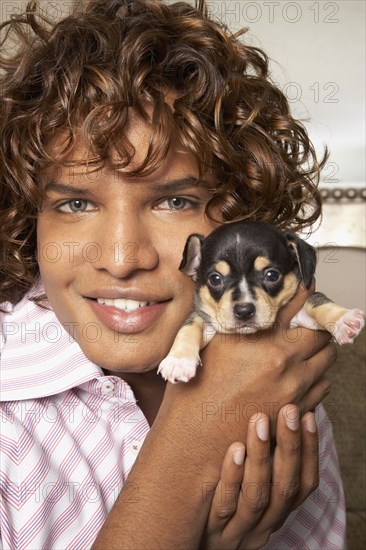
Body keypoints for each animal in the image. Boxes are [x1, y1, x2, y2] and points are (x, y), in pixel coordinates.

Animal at [159, 220, 364, 384]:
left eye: (272, 275)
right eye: (215, 279)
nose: (243, 311)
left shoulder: (303, 317)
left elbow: (318, 301)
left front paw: (344, 320)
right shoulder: (206, 320)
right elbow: (189, 326)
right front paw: (178, 361)